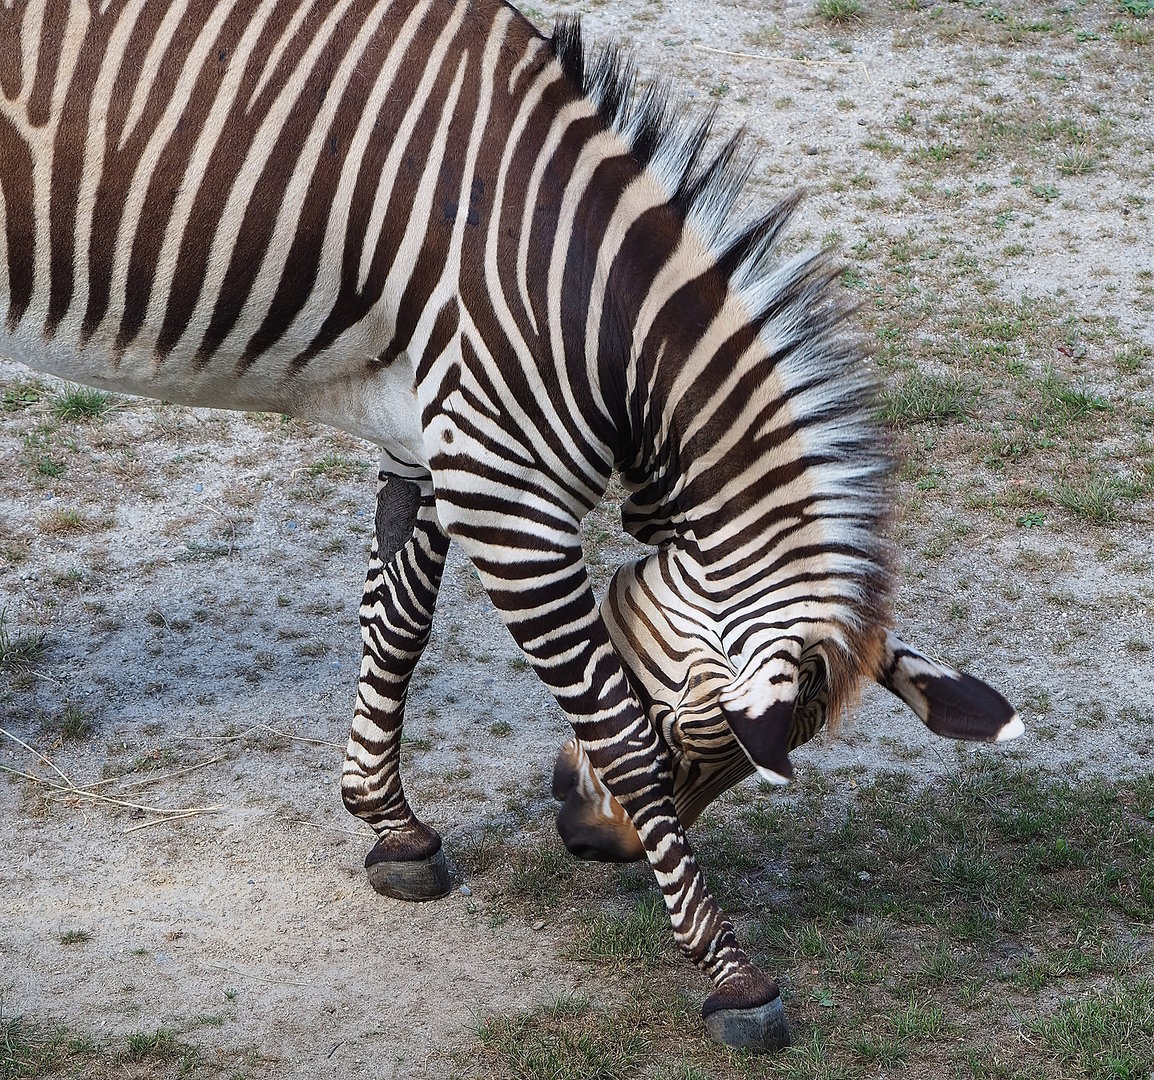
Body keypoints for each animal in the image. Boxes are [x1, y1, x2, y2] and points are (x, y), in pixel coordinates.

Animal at [0, 0, 1023, 1050]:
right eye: (701, 739)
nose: (595, 848)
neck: (586, 300)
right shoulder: (506, 491)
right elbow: (616, 733)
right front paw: (733, 977)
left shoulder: (435, 434)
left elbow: (398, 621)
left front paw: (390, 828)